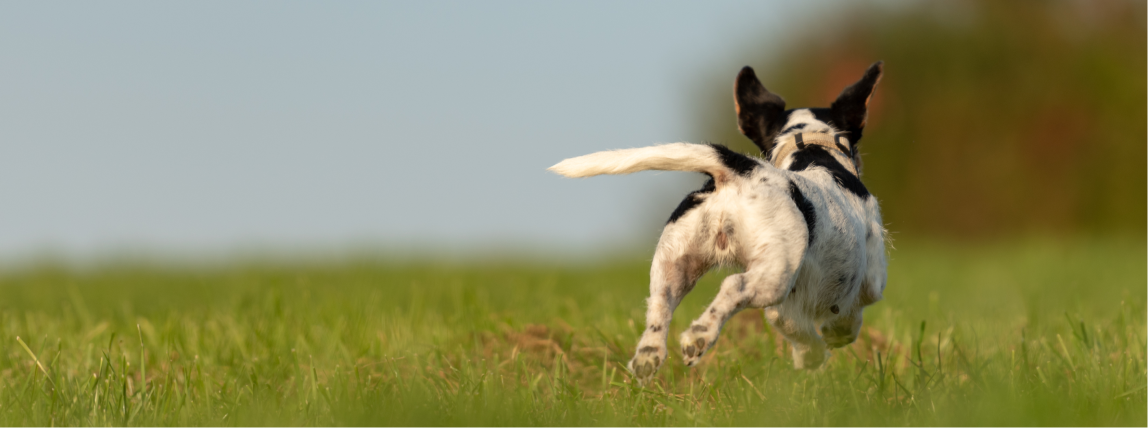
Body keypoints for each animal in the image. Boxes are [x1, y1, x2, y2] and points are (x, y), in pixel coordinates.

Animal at [546, 61, 886, 380]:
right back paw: (699, 336)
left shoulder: (785, 310)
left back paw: (648, 355)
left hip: (675, 260)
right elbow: (850, 314)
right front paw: (830, 339)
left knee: (659, 304)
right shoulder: (869, 280)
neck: (814, 150)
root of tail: (739, 170)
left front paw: (811, 356)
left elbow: (795, 329)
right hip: (775, 272)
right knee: (733, 286)